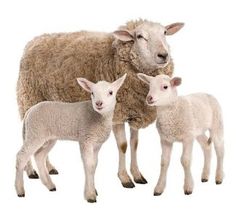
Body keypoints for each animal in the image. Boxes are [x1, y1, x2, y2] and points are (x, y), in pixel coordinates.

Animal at [15, 74, 127, 204]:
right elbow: (89, 165)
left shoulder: (97, 144)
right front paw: (90, 195)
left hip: (47, 138)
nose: (98, 103)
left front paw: (94, 190)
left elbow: (94, 166)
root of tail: (30, 110)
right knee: (22, 156)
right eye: (92, 93)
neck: (98, 117)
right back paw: (20, 191)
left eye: (110, 92)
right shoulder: (86, 139)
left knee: (39, 156)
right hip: (35, 133)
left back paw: (50, 185)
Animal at [16, 19, 184, 188]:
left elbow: (134, 144)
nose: (163, 55)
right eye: (140, 36)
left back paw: (49, 168)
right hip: (29, 99)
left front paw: (137, 175)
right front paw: (125, 178)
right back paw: (31, 171)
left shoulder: (134, 111)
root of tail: (33, 41)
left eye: (164, 33)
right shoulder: (117, 114)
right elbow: (123, 145)